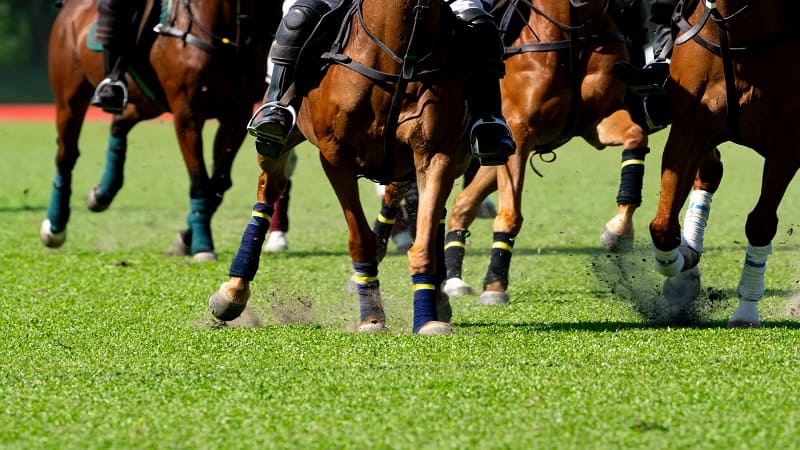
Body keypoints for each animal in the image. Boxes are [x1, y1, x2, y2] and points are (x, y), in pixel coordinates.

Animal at [40, 0, 279, 261]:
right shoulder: (187, 115)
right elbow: (200, 183)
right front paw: (202, 245)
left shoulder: (237, 114)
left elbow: (218, 184)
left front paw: (186, 238)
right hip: (69, 98)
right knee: (66, 155)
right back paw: (54, 227)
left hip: (147, 102)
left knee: (119, 124)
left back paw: (102, 194)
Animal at [208, 0, 471, 334]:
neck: (399, 57)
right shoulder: (335, 156)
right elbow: (361, 239)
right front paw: (372, 316)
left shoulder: (435, 155)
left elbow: (422, 240)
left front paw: (426, 318)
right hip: (278, 138)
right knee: (268, 191)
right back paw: (233, 292)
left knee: (434, 216)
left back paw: (438, 299)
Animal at [442, 0, 650, 304]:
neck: (573, 31)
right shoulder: (519, 133)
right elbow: (510, 214)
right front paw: (495, 285)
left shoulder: (598, 121)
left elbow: (635, 137)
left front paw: (619, 231)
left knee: (462, 203)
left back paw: (454, 279)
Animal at [649, 0, 800, 328]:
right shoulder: (689, 132)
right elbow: (663, 227)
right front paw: (684, 270)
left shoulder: (787, 144)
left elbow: (760, 223)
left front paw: (746, 310)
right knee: (709, 174)